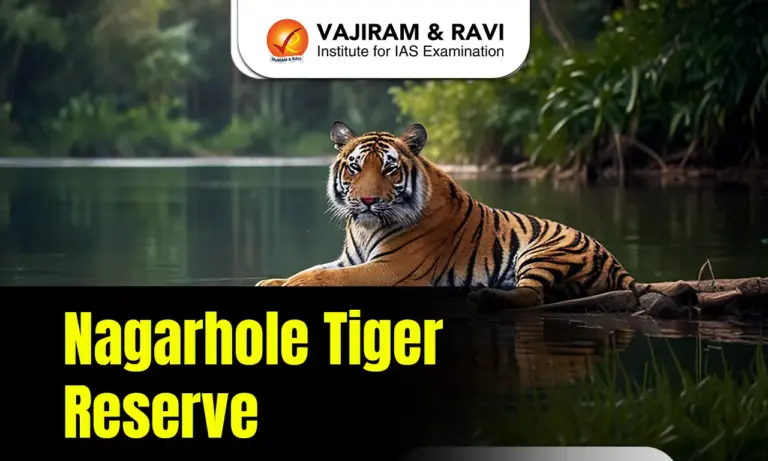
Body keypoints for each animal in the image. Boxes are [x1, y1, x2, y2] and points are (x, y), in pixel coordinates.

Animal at [255, 121, 691, 309]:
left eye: (390, 169)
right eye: (355, 168)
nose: (365, 201)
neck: (363, 228)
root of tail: (616, 261)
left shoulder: (391, 269)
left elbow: (321, 277)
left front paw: (289, 284)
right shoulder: (350, 259)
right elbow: (311, 269)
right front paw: (270, 281)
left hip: (544, 249)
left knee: (533, 296)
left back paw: (484, 295)